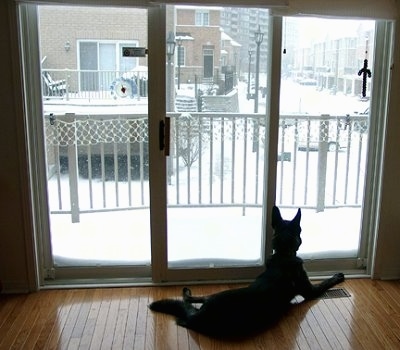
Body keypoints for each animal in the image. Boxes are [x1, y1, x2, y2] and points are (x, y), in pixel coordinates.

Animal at [149, 205, 344, 340]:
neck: (283, 253)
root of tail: (197, 317)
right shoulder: (311, 291)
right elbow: (325, 283)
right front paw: (337, 276)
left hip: (213, 296)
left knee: (193, 298)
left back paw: (188, 292)